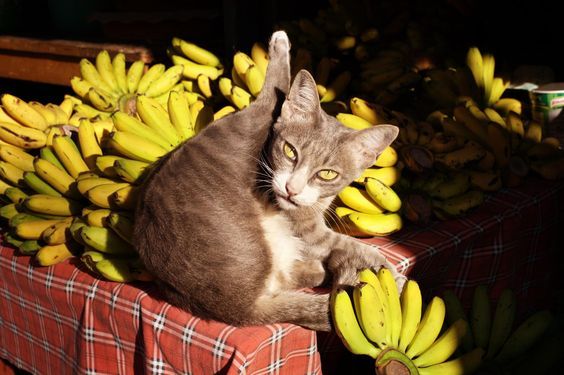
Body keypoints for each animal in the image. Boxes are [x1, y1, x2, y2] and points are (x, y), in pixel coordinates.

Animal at [134, 31, 404, 332]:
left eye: (327, 174)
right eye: (290, 151)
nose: (291, 189)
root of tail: (240, 311)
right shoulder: (306, 227)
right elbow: (277, 83)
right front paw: (391, 273)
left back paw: (319, 270)